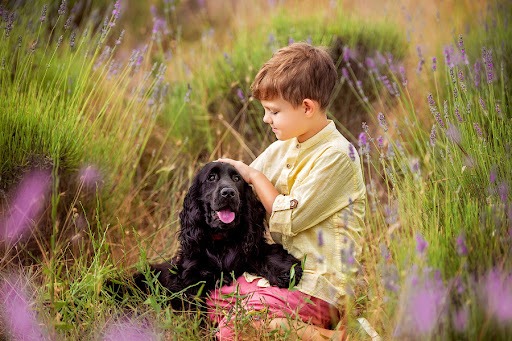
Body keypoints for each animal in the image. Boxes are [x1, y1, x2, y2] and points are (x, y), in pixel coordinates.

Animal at [126, 162, 302, 308]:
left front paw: (286, 271)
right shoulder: (190, 277)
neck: (221, 241)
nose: (229, 193)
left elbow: (267, 253)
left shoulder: (250, 250)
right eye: (211, 177)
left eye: (237, 178)